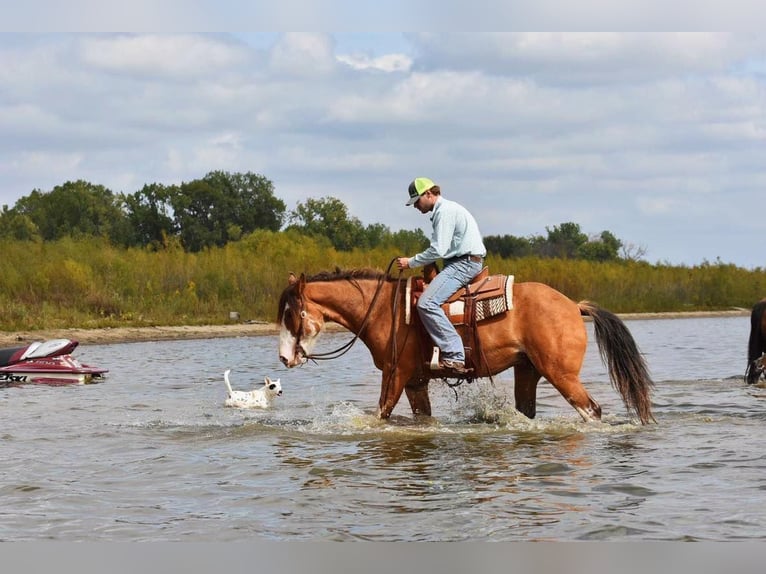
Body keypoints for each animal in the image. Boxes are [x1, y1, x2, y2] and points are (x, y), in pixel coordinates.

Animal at [280, 268, 656, 426]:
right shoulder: (415, 381)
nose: (284, 358)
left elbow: (381, 414)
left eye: (290, 314)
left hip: (561, 374)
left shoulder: (395, 373)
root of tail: (573, 306)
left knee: (591, 410)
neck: (386, 309)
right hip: (528, 371)